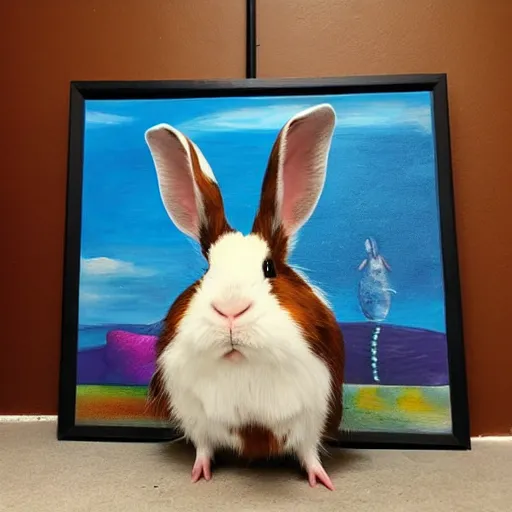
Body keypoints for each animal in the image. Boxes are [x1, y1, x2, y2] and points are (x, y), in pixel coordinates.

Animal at [143, 102, 344, 490]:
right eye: (207, 270)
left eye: (269, 268)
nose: (231, 311)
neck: (242, 364)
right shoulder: (194, 411)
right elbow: (203, 446)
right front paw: (198, 472)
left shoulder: (313, 409)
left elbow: (309, 451)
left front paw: (322, 480)